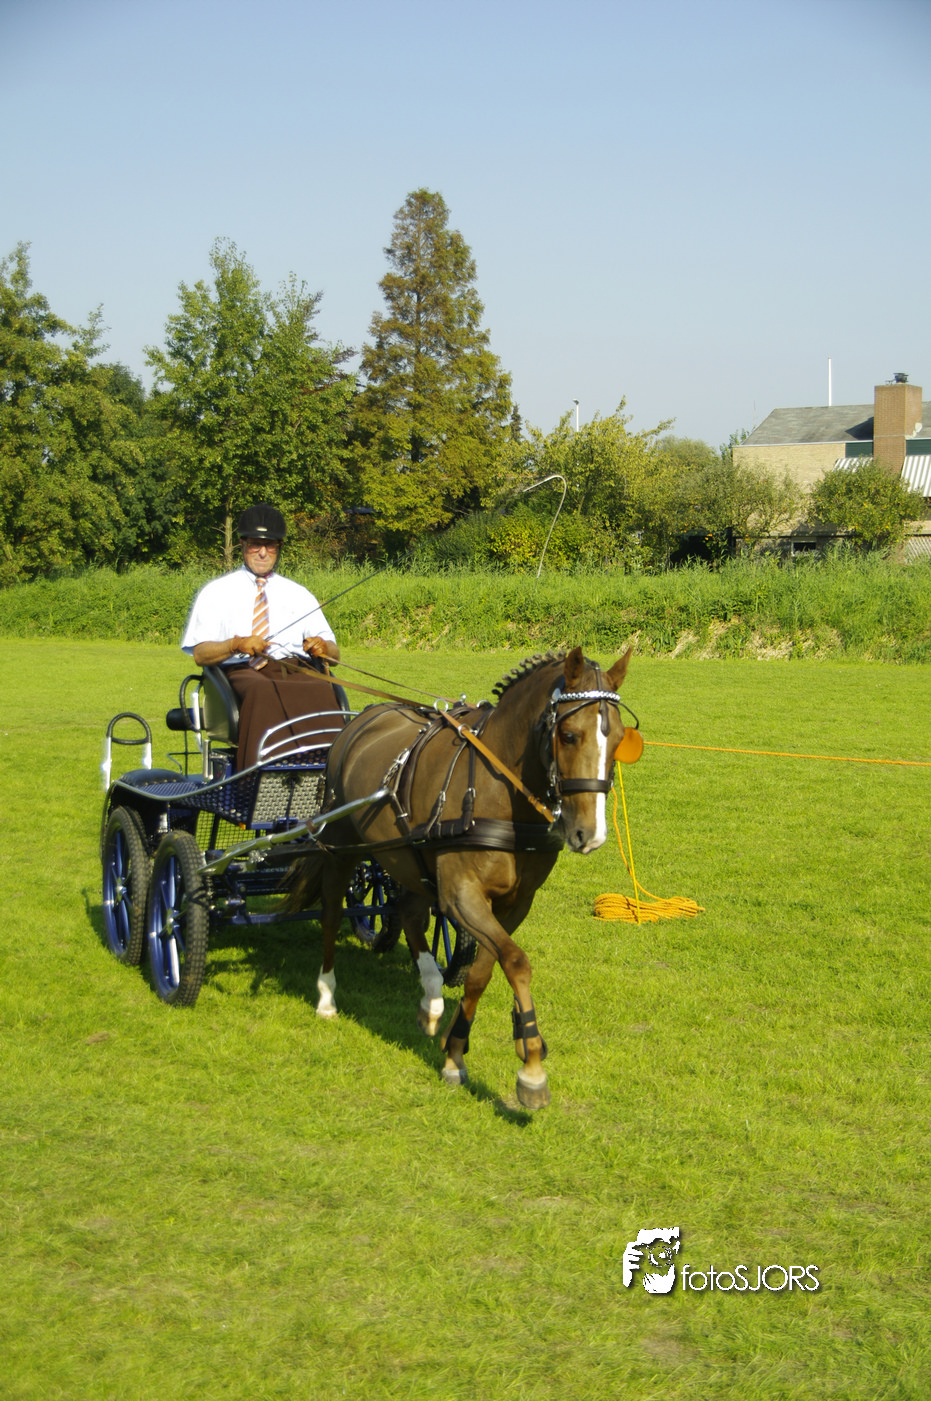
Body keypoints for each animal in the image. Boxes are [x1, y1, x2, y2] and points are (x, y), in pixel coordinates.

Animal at [289, 645, 632, 1109]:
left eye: (619, 740)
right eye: (569, 735)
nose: (589, 834)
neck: (498, 792)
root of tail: (364, 717)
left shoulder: (514, 904)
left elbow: (482, 972)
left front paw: (454, 1053)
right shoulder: (460, 894)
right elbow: (517, 962)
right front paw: (531, 1067)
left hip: (409, 858)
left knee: (409, 912)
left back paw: (431, 996)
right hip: (342, 845)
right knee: (330, 912)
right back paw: (326, 994)